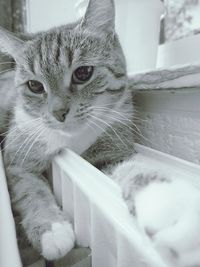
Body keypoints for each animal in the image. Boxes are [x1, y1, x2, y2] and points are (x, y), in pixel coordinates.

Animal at [0, 0, 135, 264]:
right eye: (34, 85)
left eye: (83, 73)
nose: (58, 113)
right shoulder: (16, 160)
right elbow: (31, 190)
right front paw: (52, 230)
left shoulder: (115, 147)